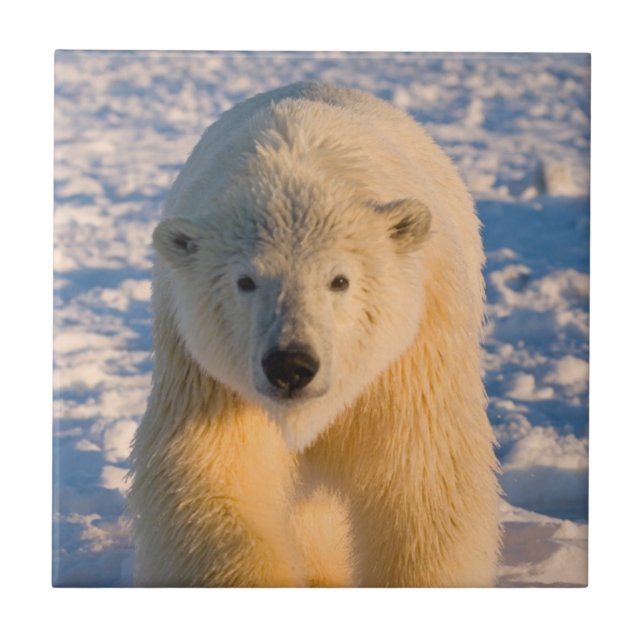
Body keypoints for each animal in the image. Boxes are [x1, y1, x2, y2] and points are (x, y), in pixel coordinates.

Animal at [128, 81, 501, 587]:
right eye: (246, 281)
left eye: (339, 280)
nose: (290, 365)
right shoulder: (207, 375)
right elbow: (213, 479)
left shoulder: (410, 359)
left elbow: (422, 485)